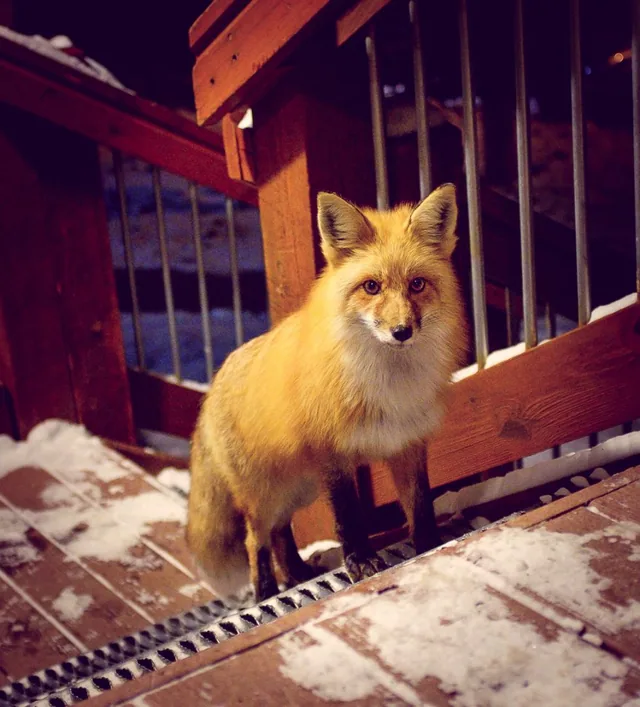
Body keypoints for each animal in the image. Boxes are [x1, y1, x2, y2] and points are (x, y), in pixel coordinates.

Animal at [187, 183, 467, 603]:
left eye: (417, 284)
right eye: (371, 287)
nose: (402, 331)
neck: (388, 386)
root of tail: (213, 383)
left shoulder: (407, 443)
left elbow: (420, 504)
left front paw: (430, 546)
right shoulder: (333, 455)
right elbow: (349, 518)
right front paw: (361, 563)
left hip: (298, 490)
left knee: (281, 533)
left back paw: (297, 574)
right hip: (266, 493)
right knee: (257, 540)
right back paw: (266, 592)